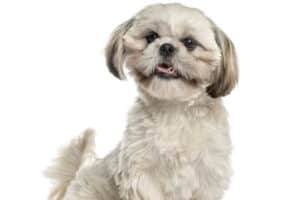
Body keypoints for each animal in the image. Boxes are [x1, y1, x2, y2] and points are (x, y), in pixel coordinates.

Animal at [45, 3, 238, 200]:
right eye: (151, 37)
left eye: (189, 42)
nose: (166, 47)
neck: (173, 109)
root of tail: (78, 174)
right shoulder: (141, 175)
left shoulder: (208, 176)